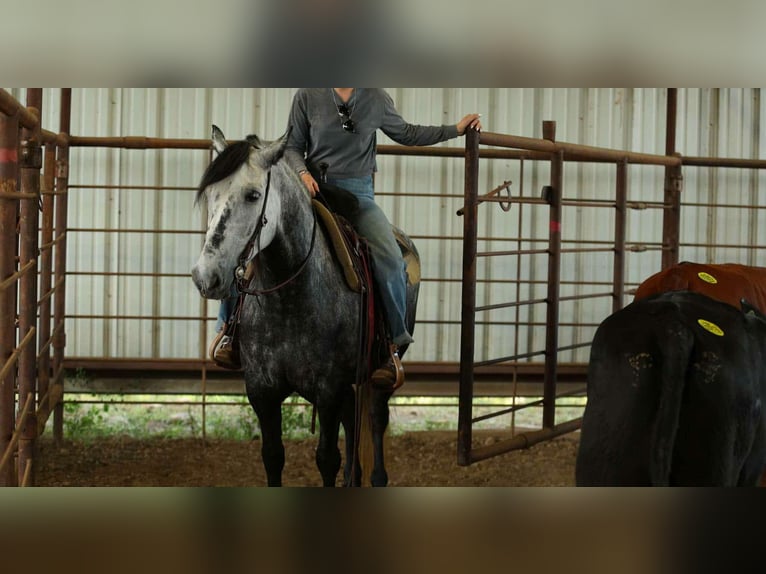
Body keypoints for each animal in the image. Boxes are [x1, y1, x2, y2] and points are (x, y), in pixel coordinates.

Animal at [191, 126, 420, 486]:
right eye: (211, 194)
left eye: (253, 195)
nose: (205, 275)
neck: (289, 301)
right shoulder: (262, 392)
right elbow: (272, 456)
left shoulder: (328, 391)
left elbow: (327, 458)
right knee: (353, 417)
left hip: (380, 370)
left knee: (375, 416)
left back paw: (377, 477)